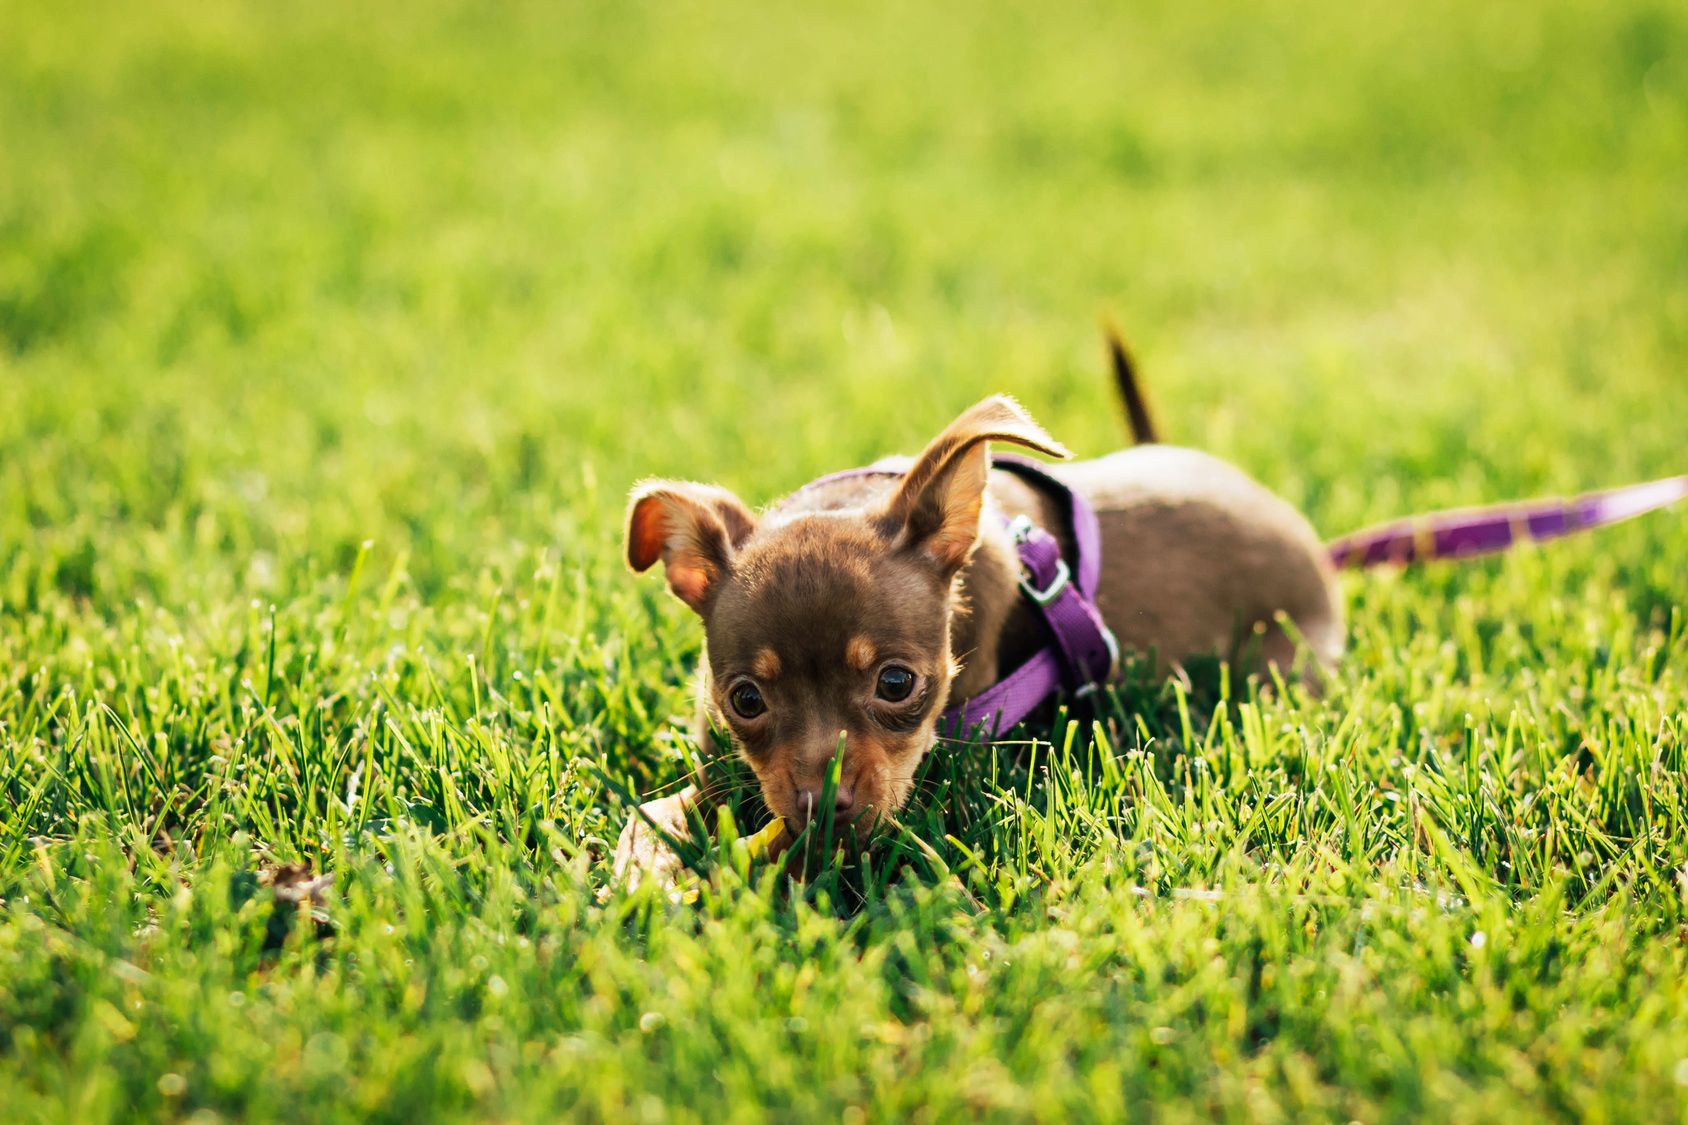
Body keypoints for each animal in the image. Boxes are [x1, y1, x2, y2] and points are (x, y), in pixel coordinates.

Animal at [614, 341, 1336, 885]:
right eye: (746, 700)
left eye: (896, 683)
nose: (823, 806)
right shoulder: (717, 761)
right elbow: (661, 808)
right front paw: (649, 860)